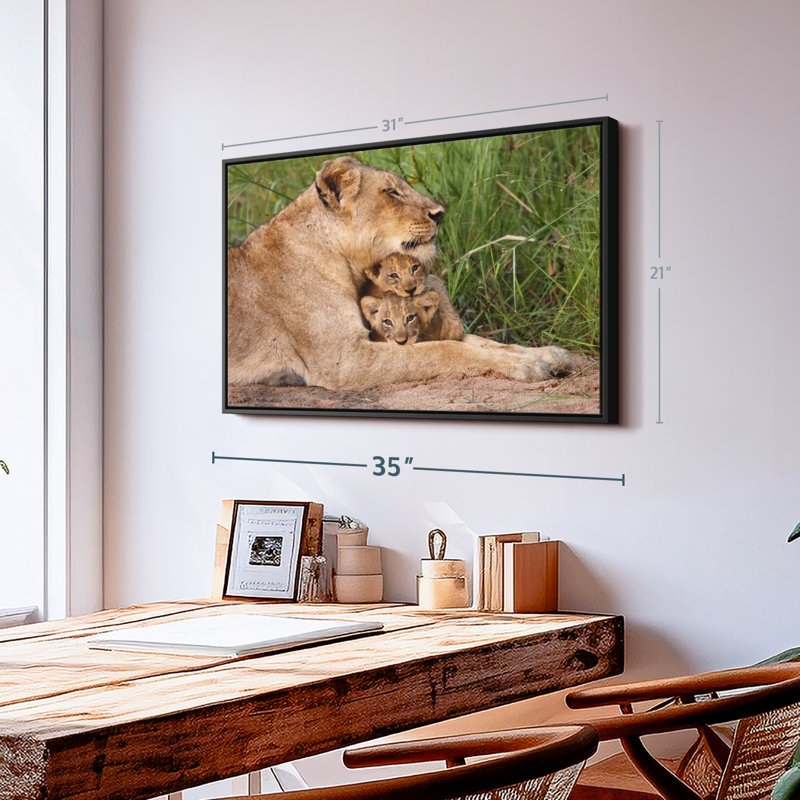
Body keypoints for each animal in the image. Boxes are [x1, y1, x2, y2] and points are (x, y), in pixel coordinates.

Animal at [227, 156, 577, 391]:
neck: (346, 262)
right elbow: (445, 350)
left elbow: (480, 341)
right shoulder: (345, 360)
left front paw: (549, 355)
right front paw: (527, 365)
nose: (440, 213)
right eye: (392, 193)